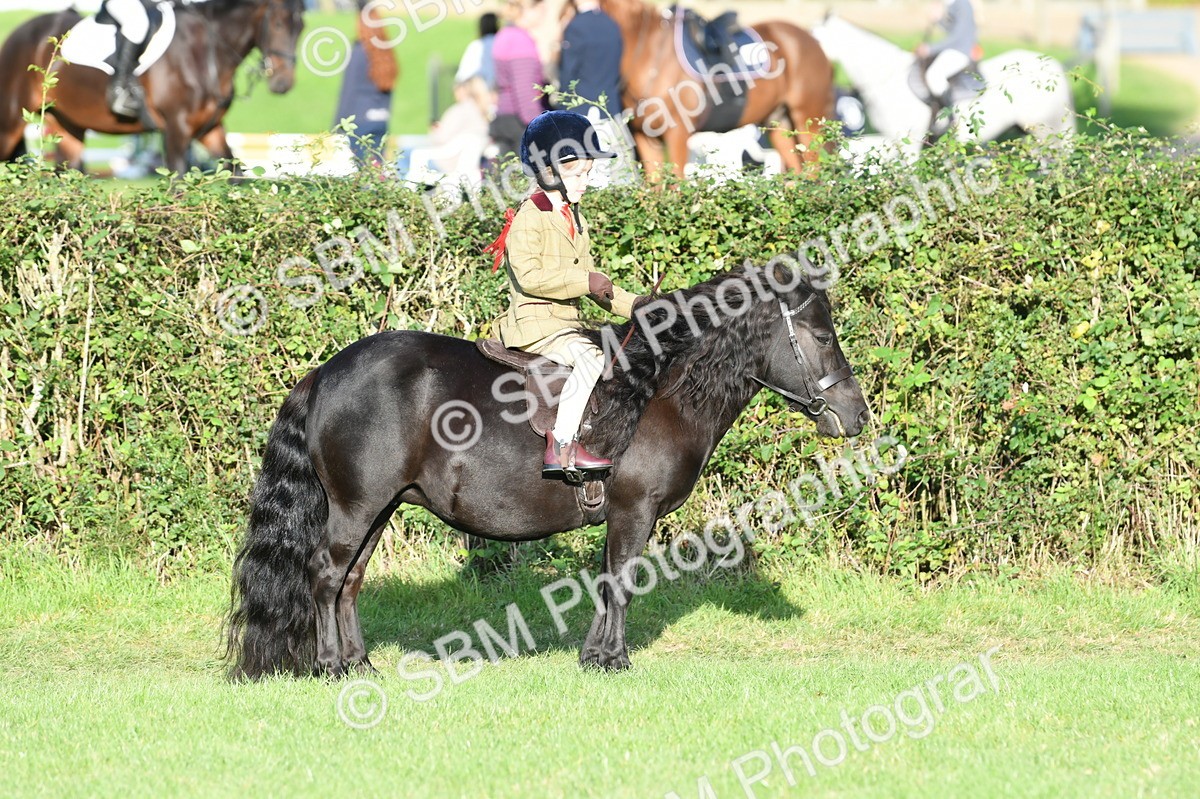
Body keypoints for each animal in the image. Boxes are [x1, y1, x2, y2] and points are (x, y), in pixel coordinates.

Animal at [0, 0, 304, 175]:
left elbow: (235, 173)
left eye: (300, 27)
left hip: (67, 125)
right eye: (278, 24)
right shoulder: (176, 128)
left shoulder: (210, 129)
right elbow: (178, 182)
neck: (204, 51)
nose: (283, 83)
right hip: (11, 121)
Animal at [224, 263, 870, 678]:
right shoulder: (633, 510)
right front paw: (613, 661)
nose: (856, 416)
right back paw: (331, 666)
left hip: (376, 507)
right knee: (326, 576)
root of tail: (325, 373)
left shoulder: (623, 515)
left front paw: (595, 656)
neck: (656, 391)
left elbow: (608, 582)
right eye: (820, 333)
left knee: (351, 580)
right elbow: (622, 582)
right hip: (356, 508)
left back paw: (360, 663)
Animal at [596, 0, 834, 180]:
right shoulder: (646, 138)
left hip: (807, 121)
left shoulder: (677, 134)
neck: (651, 56)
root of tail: (812, 40)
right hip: (779, 123)